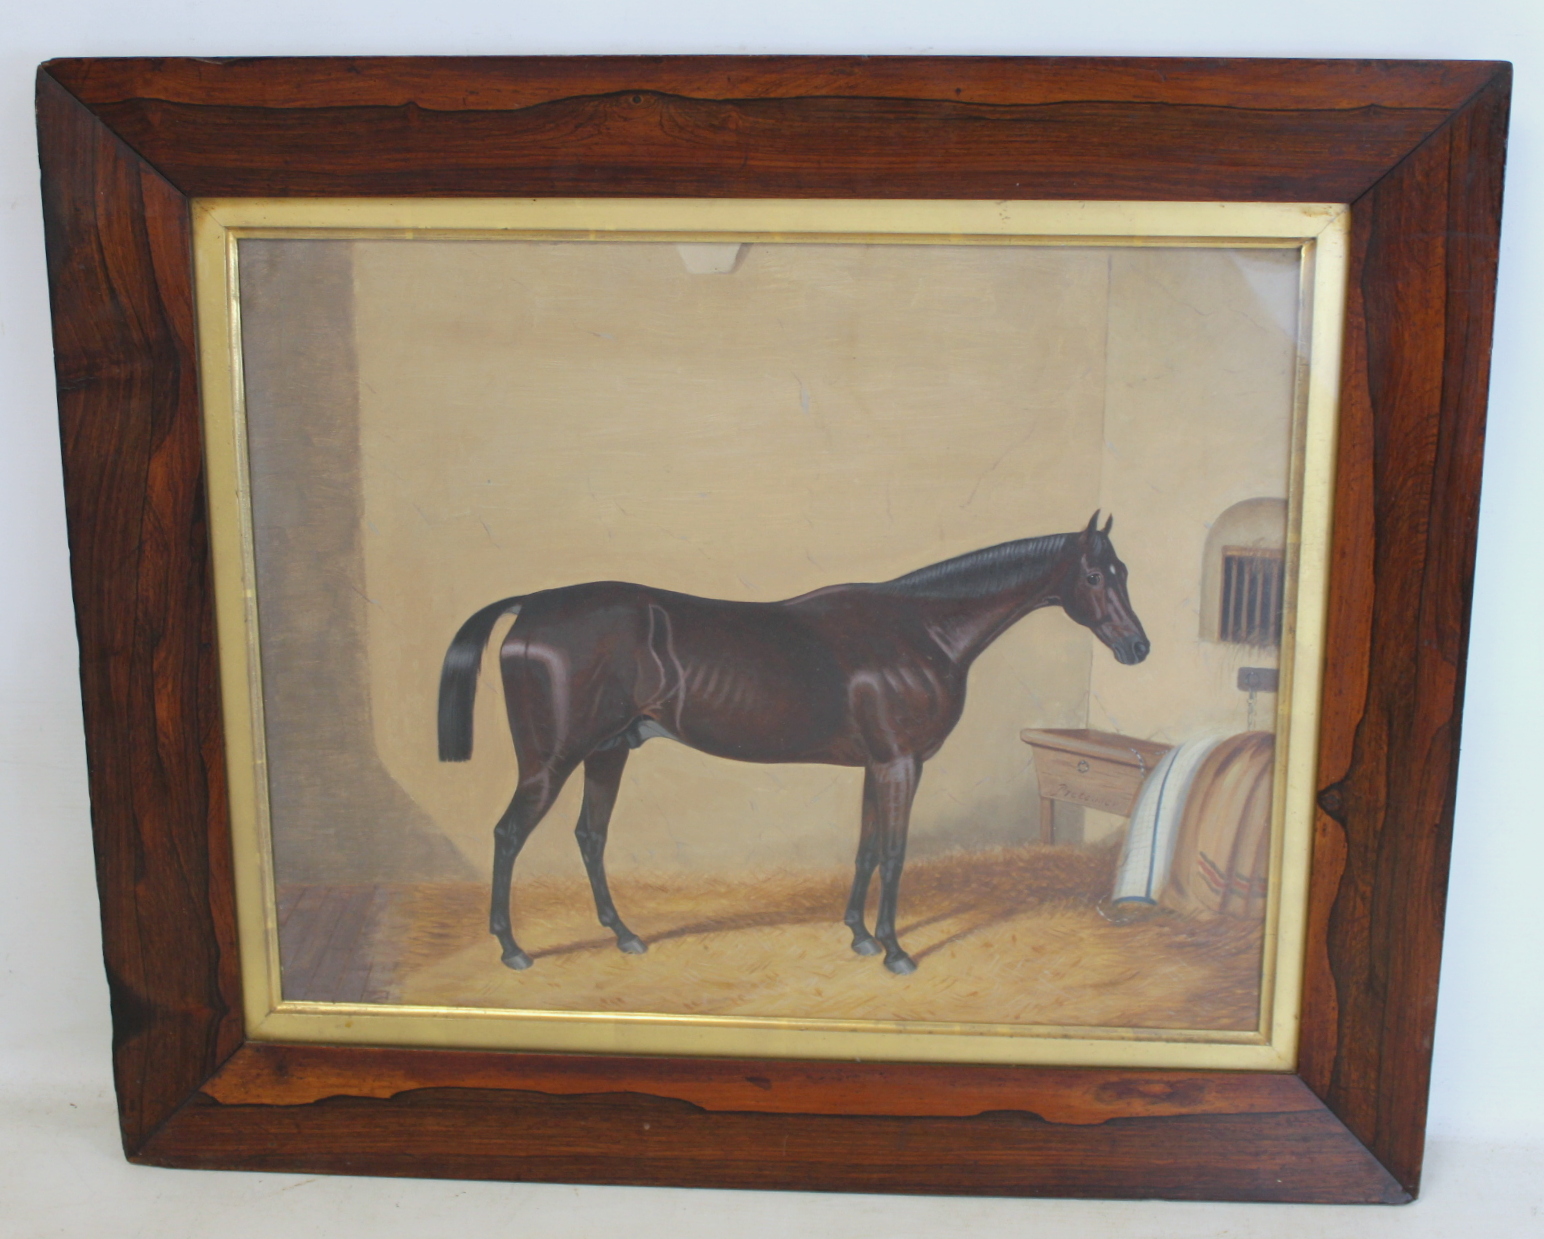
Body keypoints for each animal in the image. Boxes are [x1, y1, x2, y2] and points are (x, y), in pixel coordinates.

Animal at [435, 506, 1148, 970]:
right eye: (1094, 576)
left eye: (1124, 572)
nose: (1138, 647)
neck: (919, 630)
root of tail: (534, 605)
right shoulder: (901, 764)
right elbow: (894, 854)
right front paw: (894, 950)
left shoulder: (877, 766)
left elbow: (865, 850)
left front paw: (859, 935)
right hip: (551, 761)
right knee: (509, 835)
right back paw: (512, 948)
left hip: (607, 753)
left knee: (590, 836)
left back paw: (625, 936)